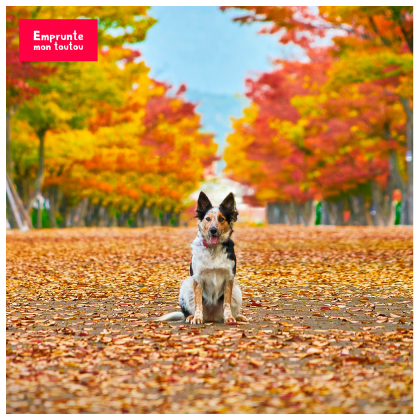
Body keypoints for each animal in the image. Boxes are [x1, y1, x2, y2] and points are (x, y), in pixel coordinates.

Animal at [159, 192, 248, 324]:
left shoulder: (229, 278)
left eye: (221, 219)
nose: (213, 230)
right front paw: (197, 318)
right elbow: (198, 303)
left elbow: (226, 303)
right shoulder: (197, 279)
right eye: (207, 219)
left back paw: (238, 316)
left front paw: (229, 317)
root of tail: (211, 318)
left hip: (237, 290)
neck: (213, 248)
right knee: (188, 311)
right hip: (186, 285)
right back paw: (190, 317)